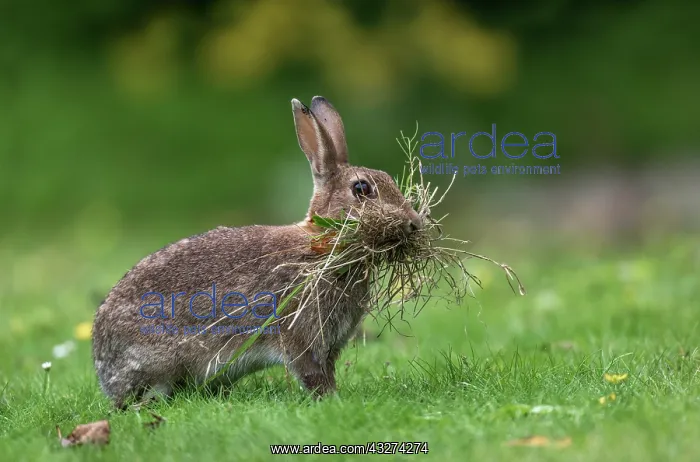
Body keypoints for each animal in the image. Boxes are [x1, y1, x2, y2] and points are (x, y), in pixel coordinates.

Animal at [92, 96, 425, 409]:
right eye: (362, 189)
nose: (414, 222)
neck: (324, 245)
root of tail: (104, 371)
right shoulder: (299, 334)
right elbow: (311, 372)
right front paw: (330, 400)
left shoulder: (330, 344)